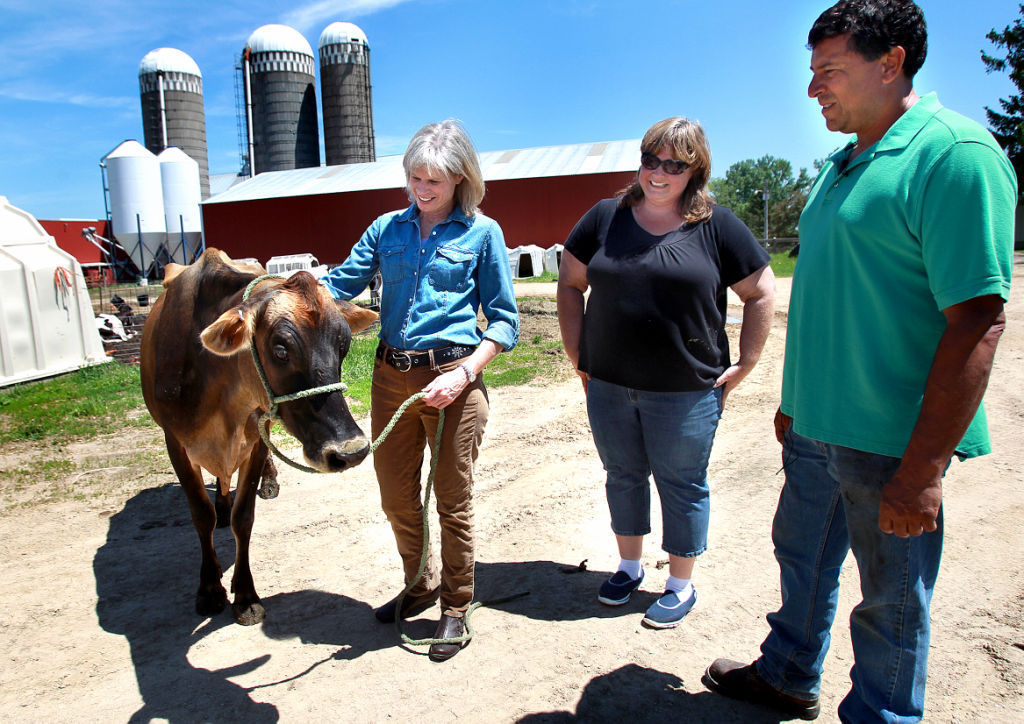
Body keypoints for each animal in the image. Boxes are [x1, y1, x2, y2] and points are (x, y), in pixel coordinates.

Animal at [138, 248, 374, 622]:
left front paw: (245, 593)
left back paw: (268, 482)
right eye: (280, 350)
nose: (350, 451)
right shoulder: (175, 442)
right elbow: (201, 515)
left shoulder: (257, 435)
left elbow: (243, 517)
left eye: (344, 346)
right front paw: (210, 590)